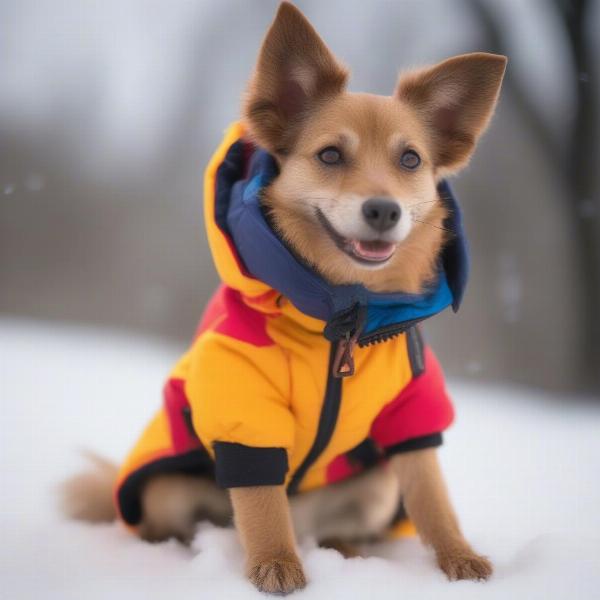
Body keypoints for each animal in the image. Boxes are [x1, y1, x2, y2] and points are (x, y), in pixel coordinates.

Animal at [63, 3, 506, 596]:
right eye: (330, 154)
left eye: (411, 159)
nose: (383, 210)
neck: (346, 314)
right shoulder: (243, 405)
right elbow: (260, 502)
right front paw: (275, 563)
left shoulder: (413, 408)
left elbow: (433, 496)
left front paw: (458, 556)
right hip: (169, 485)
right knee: (192, 521)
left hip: (376, 487)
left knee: (350, 525)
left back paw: (346, 550)